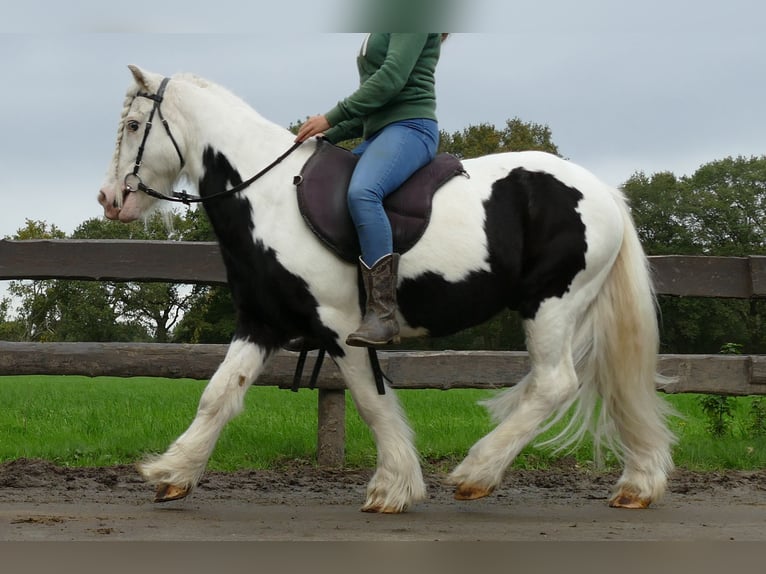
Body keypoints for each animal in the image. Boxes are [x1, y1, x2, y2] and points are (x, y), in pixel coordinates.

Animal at [97, 65, 680, 516]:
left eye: (133, 124)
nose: (108, 199)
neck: (267, 196)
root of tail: (602, 191)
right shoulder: (261, 321)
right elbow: (218, 395)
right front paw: (173, 472)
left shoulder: (340, 326)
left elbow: (370, 402)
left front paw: (393, 487)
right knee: (614, 387)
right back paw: (638, 485)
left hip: (552, 303)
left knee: (555, 385)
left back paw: (476, 472)